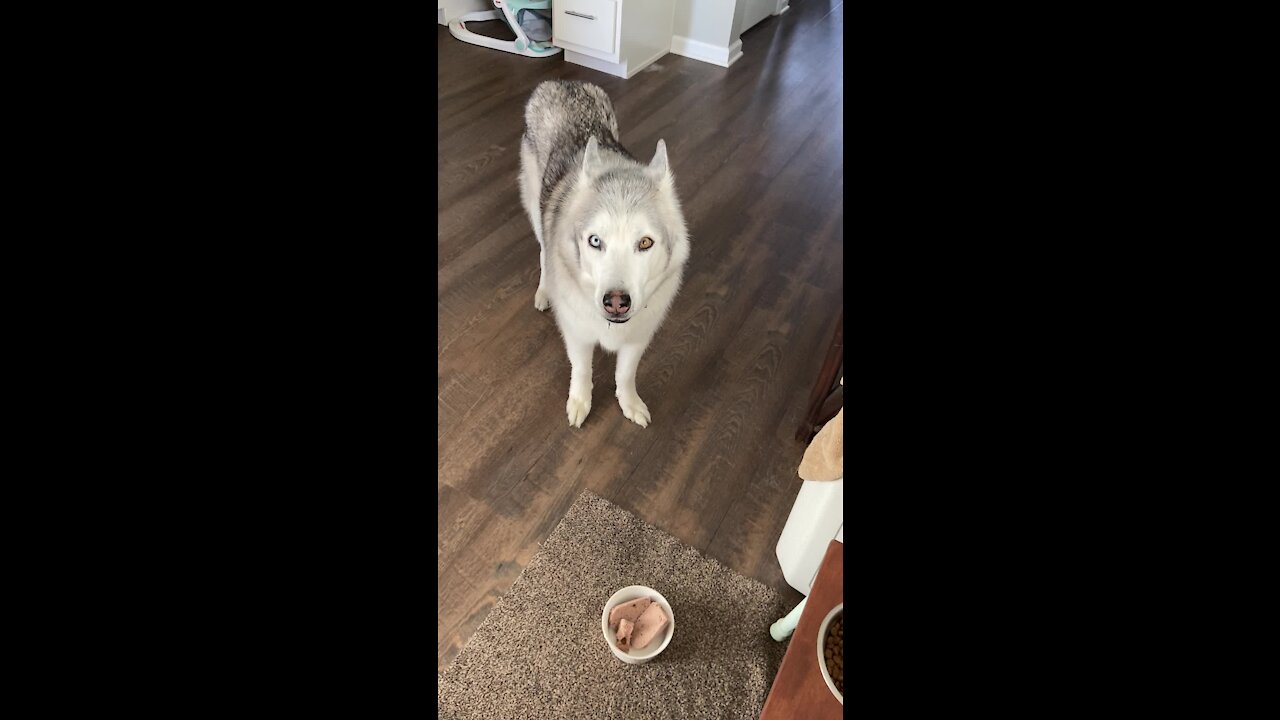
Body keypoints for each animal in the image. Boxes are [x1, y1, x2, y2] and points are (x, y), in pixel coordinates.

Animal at [517, 79, 691, 425]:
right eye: (595, 241)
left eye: (645, 243)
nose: (616, 301)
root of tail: (562, 82)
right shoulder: (577, 334)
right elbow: (582, 370)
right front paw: (580, 402)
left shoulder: (638, 338)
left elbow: (625, 374)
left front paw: (629, 402)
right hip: (534, 208)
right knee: (543, 252)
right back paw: (544, 291)